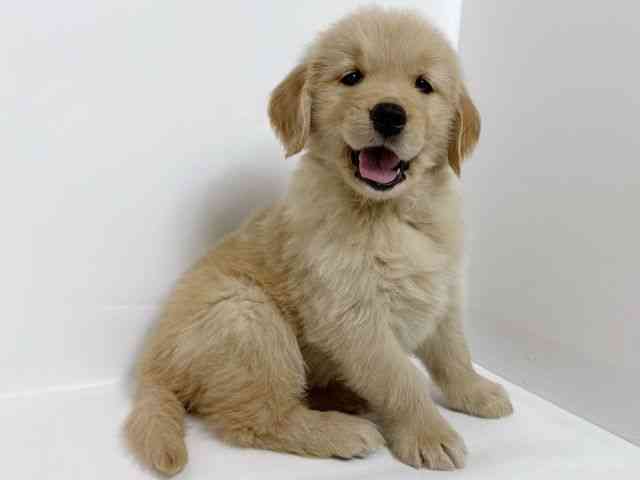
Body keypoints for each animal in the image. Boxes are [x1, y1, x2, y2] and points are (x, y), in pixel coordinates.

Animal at [125, 6, 513, 475]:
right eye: (352, 77)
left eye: (423, 84)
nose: (389, 114)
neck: (390, 214)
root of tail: (152, 368)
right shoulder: (353, 315)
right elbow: (400, 380)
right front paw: (429, 434)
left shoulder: (442, 293)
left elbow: (454, 353)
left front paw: (475, 392)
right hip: (247, 316)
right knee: (252, 419)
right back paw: (339, 431)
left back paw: (346, 398)